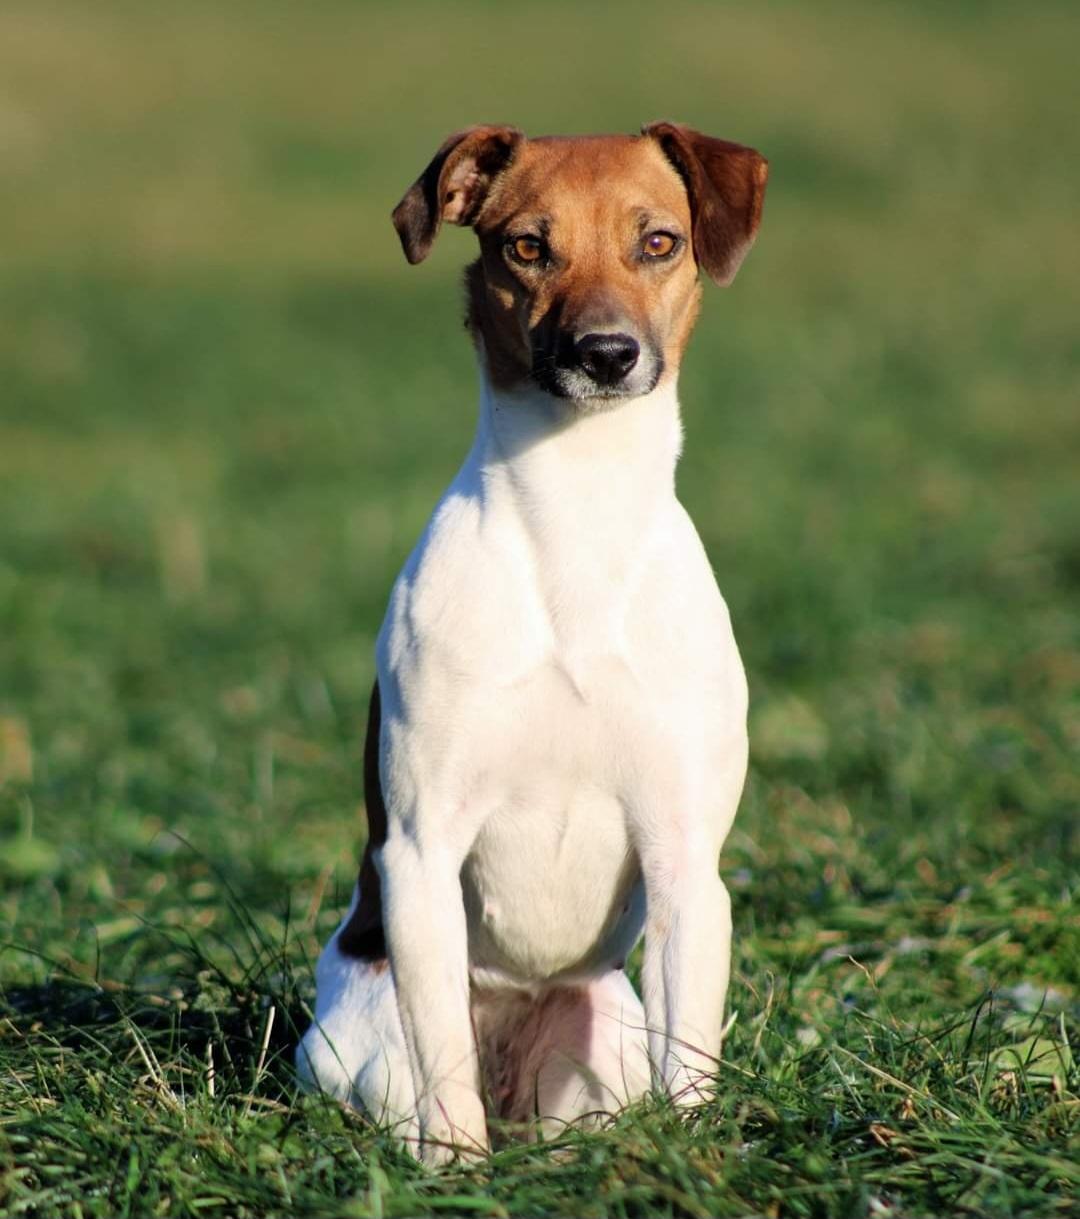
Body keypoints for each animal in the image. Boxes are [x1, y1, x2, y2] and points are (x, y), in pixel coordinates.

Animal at [296, 121, 770, 1160]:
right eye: (526, 246)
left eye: (660, 241)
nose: (606, 353)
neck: (576, 515)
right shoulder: (422, 851)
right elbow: (445, 1075)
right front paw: (456, 1169)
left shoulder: (685, 857)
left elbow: (692, 1062)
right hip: (358, 1035)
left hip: (606, 1021)